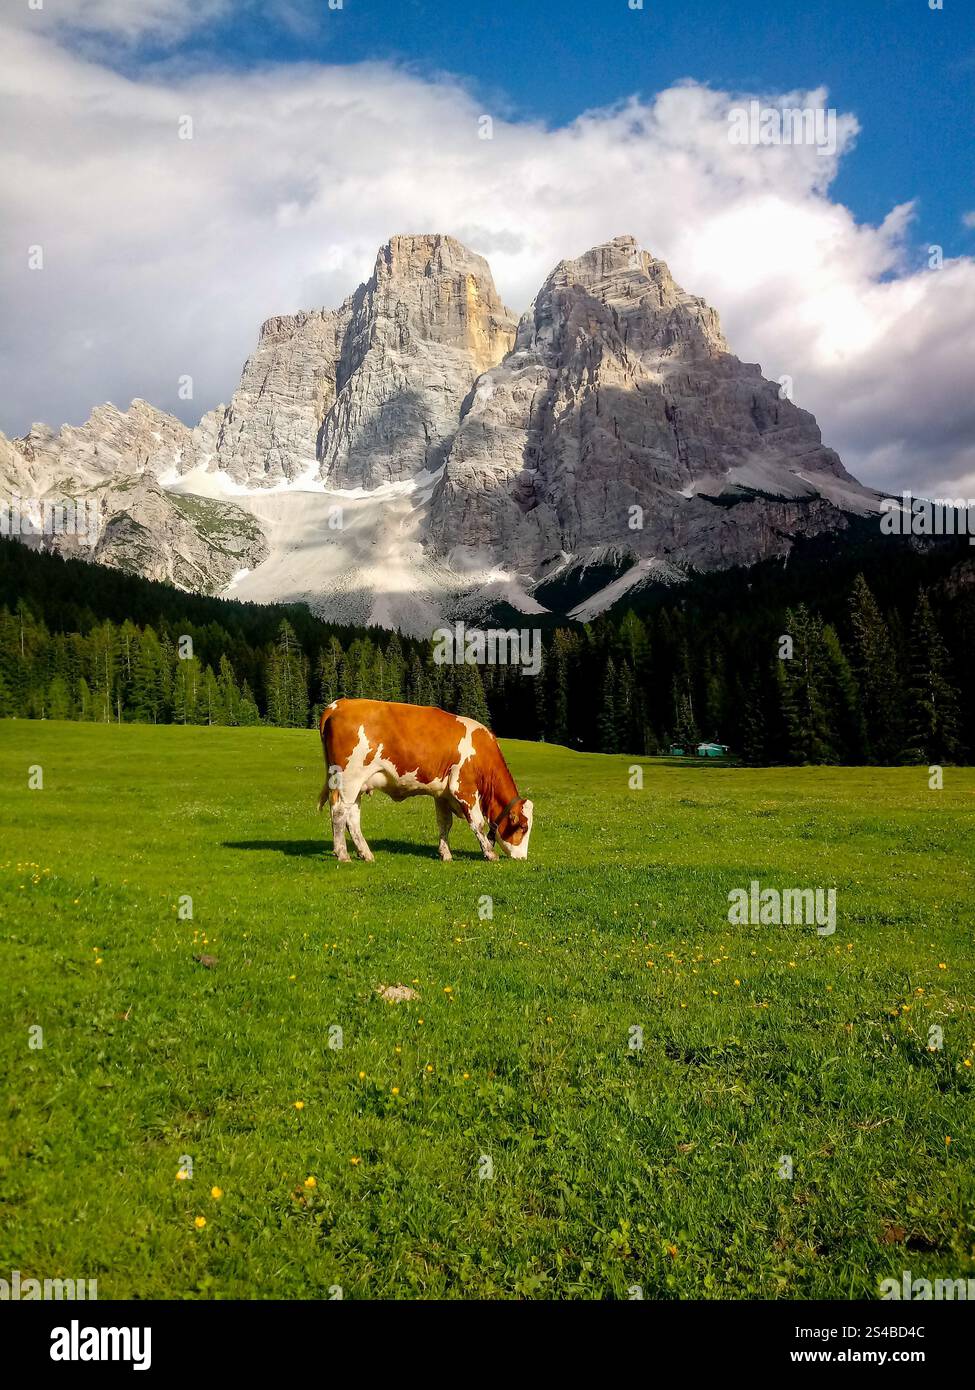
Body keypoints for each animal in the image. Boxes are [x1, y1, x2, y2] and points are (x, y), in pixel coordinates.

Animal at [317, 698, 534, 863]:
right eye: (523, 827)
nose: (522, 858)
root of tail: (339, 704)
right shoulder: (463, 788)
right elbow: (478, 823)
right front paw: (490, 853)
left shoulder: (443, 794)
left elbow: (445, 824)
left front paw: (446, 854)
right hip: (349, 778)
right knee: (339, 813)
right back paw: (343, 854)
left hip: (356, 784)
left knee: (352, 816)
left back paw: (366, 854)